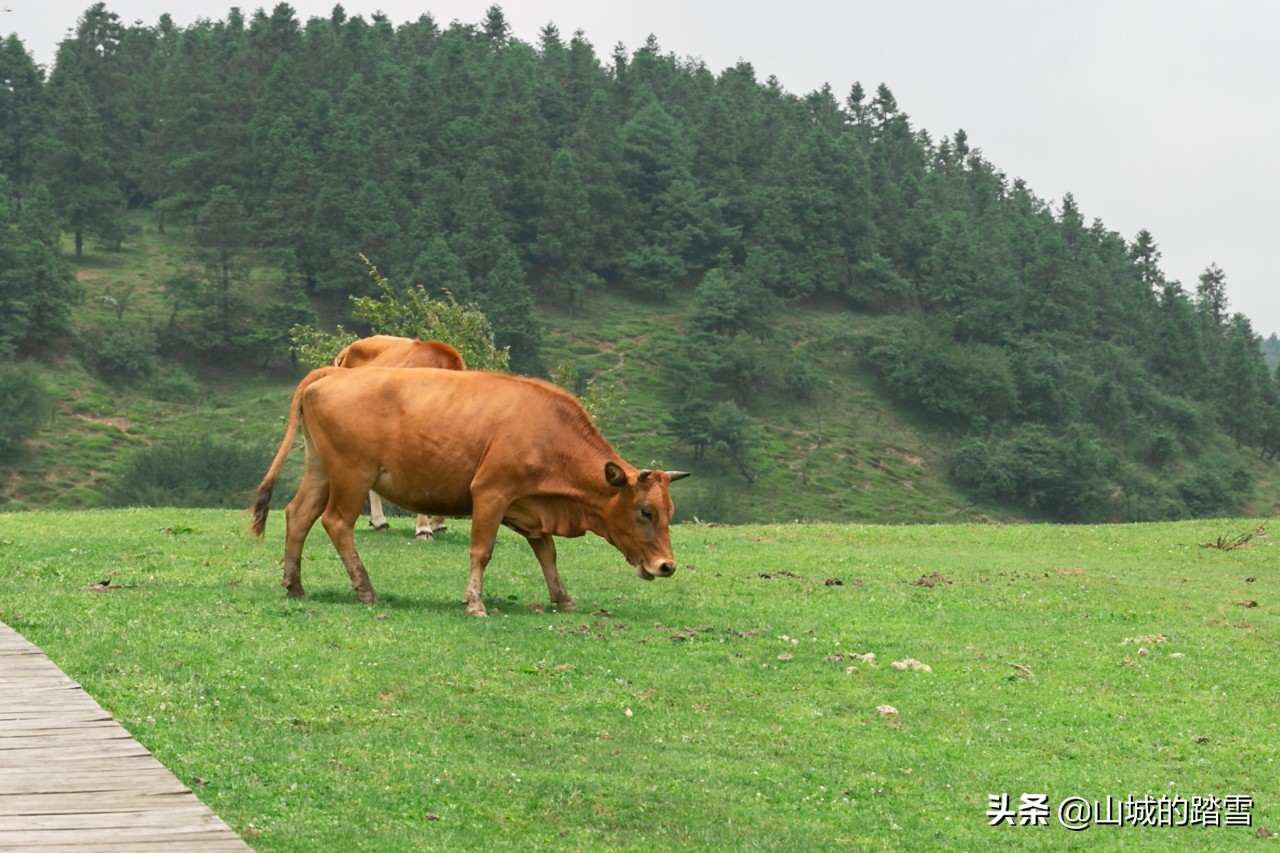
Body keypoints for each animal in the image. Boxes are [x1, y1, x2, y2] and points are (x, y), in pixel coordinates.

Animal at [252, 363, 691, 612]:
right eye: (645, 511)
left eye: (669, 512)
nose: (667, 566)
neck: (549, 432)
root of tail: (338, 372)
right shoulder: (491, 493)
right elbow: (482, 551)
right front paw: (475, 602)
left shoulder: (531, 508)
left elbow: (547, 555)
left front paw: (562, 598)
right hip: (352, 476)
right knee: (336, 523)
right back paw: (365, 589)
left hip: (320, 471)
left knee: (298, 516)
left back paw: (294, 586)